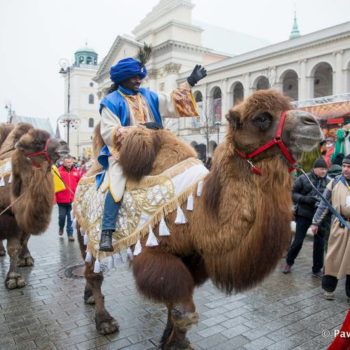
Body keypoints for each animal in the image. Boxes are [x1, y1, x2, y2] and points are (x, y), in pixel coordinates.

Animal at [0, 124, 68, 288]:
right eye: (37, 142)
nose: (64, 144)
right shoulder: (8, 217)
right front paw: (14, 278)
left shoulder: (16, 218)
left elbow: (16, 246)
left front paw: (15, 276)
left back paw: (25, 259)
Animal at [76, 89, 322, 348]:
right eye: (261, 118)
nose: (313, 123)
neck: (199, 214)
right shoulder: (153, 250)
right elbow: (183, 310)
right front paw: (177, 344)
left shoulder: (192, 256)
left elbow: (174, 304)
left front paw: (169, 339)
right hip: (86, 232)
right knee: (93, 271)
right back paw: (104, 321)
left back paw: (89, 298)